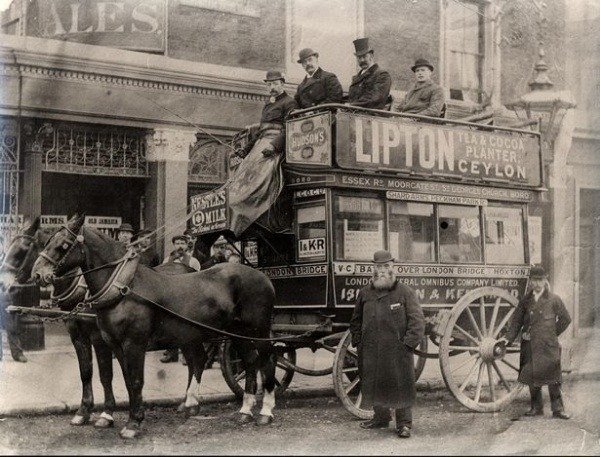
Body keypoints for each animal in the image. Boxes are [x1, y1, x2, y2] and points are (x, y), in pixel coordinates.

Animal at [31, 216, 278, 436]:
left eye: (63, 245)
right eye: (46, 241)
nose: (38, 273)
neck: (123, 287)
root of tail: (263, 277)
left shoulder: (130, 344)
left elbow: (131, 379)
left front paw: (131, 423)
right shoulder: (111, 343)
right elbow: (118, 379)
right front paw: (117, 416)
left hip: (257, 330)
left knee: (268, 359)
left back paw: (266, 411)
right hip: (232, 332)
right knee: (245, 361)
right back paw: (241, 410)